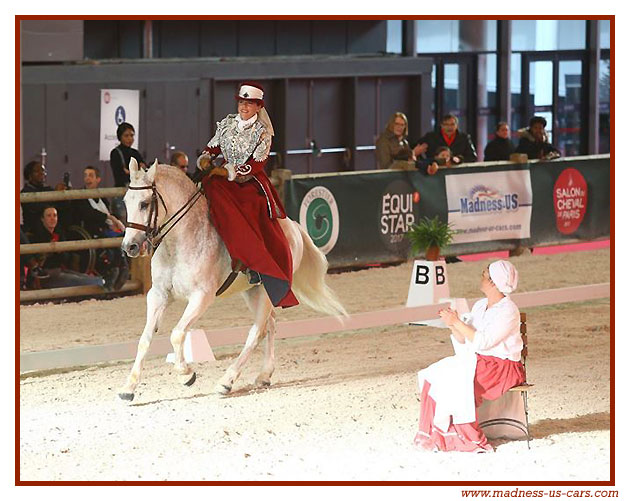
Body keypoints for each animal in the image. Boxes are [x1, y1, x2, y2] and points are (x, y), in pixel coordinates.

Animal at [118, 158, 350, 400]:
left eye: (144, 203)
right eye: (125, 202)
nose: (129, 247)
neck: (180, 242)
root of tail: (293, 227)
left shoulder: (201, 296)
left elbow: (177, 334)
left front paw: (186, 374)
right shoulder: (158, 295)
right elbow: (145, 339)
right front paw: (128, 387)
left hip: (265, 292)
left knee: (256, 332)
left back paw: (226, 382)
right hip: (253, 291)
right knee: (270, 325)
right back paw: (264, 375)